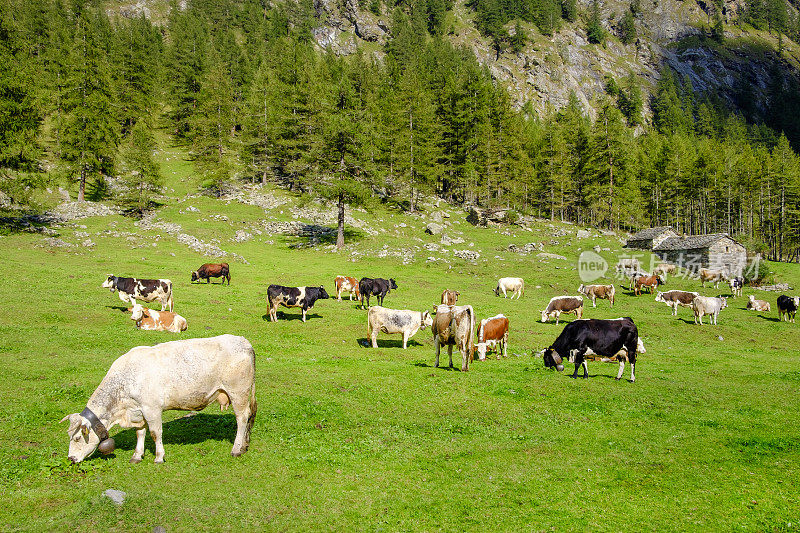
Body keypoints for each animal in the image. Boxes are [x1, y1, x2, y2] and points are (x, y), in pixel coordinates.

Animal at [62, 334, 256, 464]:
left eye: (77, 438)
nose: (70, 458)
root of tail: (243, 342)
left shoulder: (152, 409)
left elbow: (156, 433)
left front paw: (159, 457)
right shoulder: (137, 410)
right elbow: (140, 432)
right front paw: (137, 455)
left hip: (238, 392)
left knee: (242, 418)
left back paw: (236, 449)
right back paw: (244, 445)